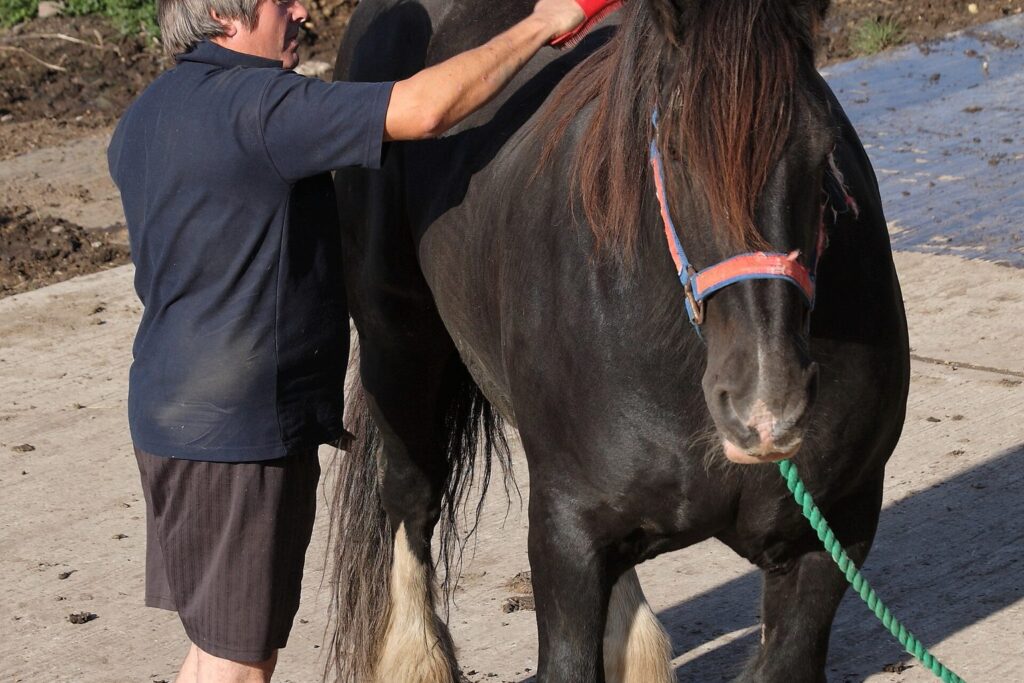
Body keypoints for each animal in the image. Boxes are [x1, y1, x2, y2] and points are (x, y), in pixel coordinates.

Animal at [328, 0, 910, 681]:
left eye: (823, 150)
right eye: (676, 150)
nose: (766, 409)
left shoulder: (834, 530)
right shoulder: (565, 539)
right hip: (398, 347)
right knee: (409, 498)